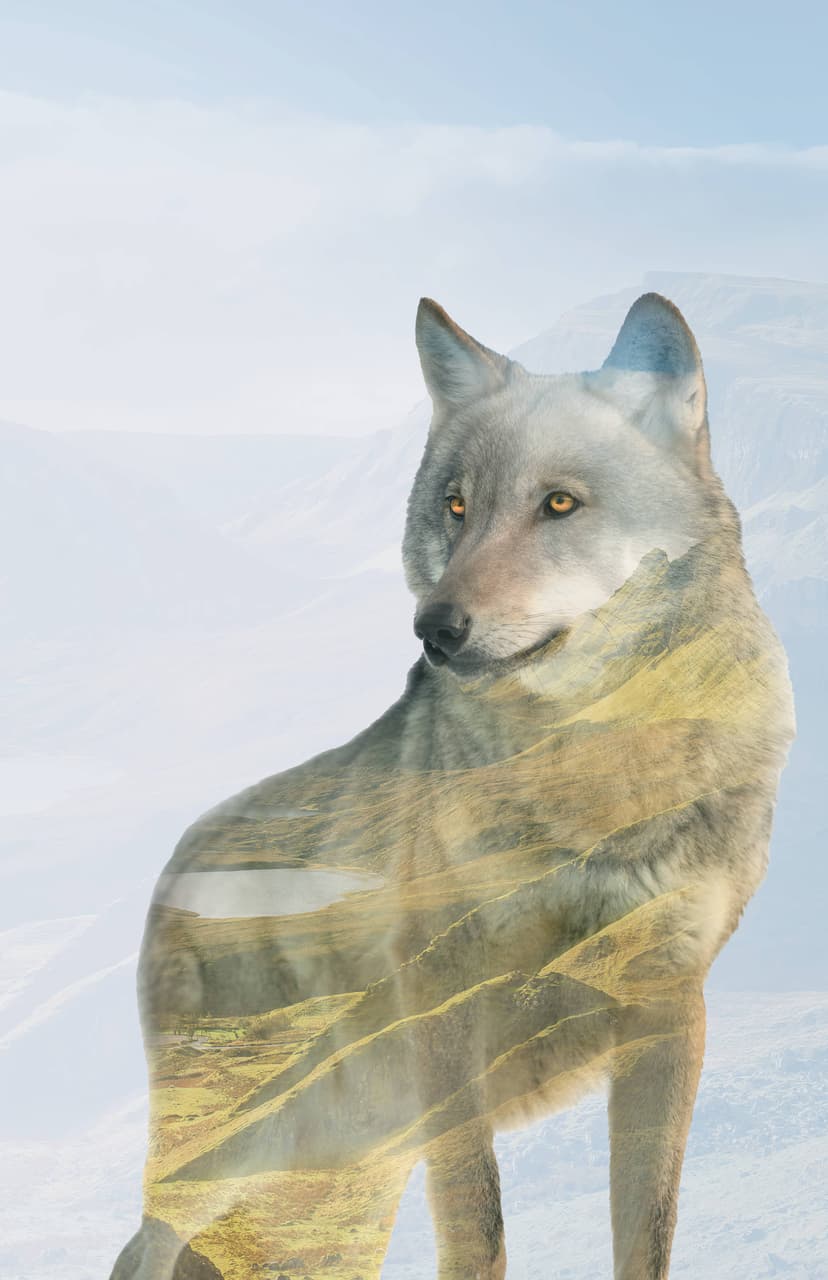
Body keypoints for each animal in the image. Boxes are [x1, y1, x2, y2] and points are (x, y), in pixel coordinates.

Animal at [112, 293, 794, 1280]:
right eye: (456, 506)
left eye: (558, 504)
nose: (434, 629)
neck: (590, 782)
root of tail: (175, 860)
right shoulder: (446, 1017)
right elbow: (478, 1220)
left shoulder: (667, 1014)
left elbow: (647, 1227)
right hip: (236, 1158)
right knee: (139, 1249)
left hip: (342, 1195)